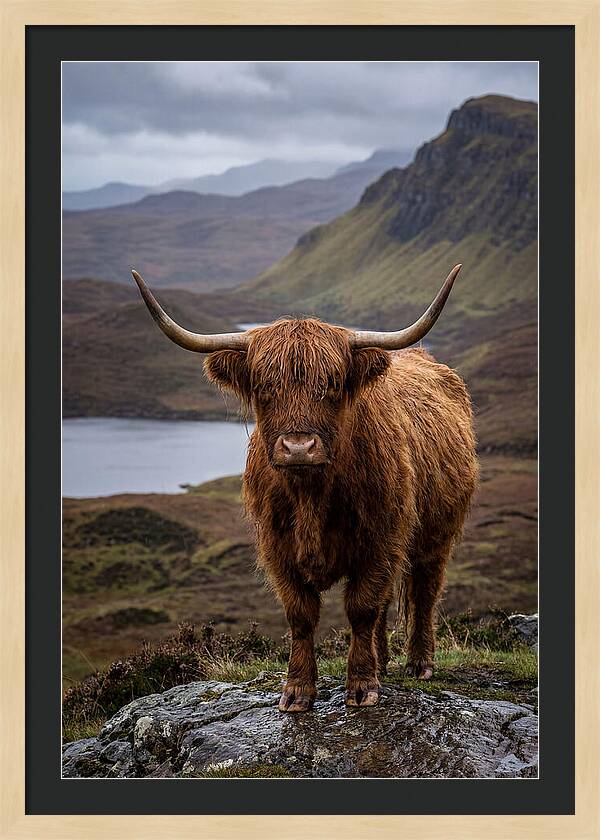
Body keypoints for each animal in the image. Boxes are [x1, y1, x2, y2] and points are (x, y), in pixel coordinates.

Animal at [132, 266, 478, 712]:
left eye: (332, 383)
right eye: (264, 386)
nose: (299, 447)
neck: (311, 495)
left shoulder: (380, 540)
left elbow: (361, 607)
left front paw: (361, 686)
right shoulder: (277, 547)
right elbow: (302, 614)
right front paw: (298, 690)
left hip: (436, 535)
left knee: (424, 591)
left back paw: (419, 663)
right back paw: (384, 662)